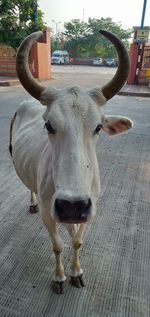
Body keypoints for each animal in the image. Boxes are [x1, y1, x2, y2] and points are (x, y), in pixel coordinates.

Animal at [9, 29, 132, 292]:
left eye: (98, 127)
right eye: (48, 125)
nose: (72, 206)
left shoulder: (90, 210)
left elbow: (76, 242)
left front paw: (76, 272)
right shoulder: (49, 213)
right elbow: (58, 246)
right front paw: (59, 277)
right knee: (29, 188)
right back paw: (32, 202)